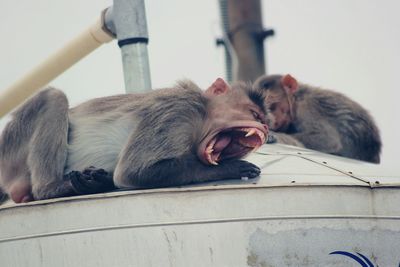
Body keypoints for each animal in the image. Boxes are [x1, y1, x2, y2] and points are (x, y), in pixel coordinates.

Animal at [0, 78, 268, 204]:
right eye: (255, 114)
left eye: (263, 119)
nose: (266, 127)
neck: (201, 116)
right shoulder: (175, 111)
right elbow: (132, 172)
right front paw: (231, 168)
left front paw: (100, 179)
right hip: (11, 150)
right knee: (54, 98)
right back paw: (52, 188)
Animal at [253, 74, 382, 164]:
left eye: (272, 106)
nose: (271, 121)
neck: (296, 100)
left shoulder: (308, 107)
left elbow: (327, 139)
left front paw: (274, 136)